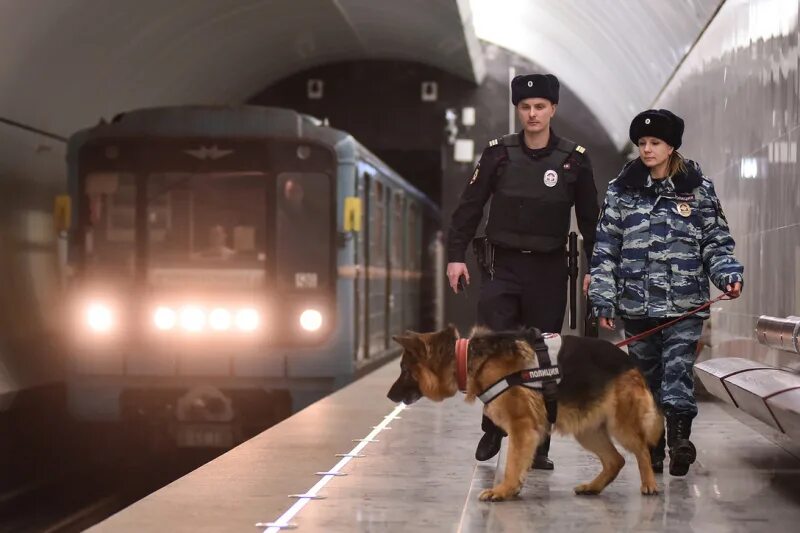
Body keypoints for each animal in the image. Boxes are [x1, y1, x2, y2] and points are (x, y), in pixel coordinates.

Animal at [388, 322, 664, 500]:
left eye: (405, 371)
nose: (389, 396)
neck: (467, 358)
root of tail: (629, 361)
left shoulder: (522, 427)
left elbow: (513, 462)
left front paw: (503, 491)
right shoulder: (525, 432)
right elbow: (519, 461)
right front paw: (512, 489)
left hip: (621, 426)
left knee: (642, 450)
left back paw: (650, 483)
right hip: (587, 431)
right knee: (616, 460)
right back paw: (593, 487)